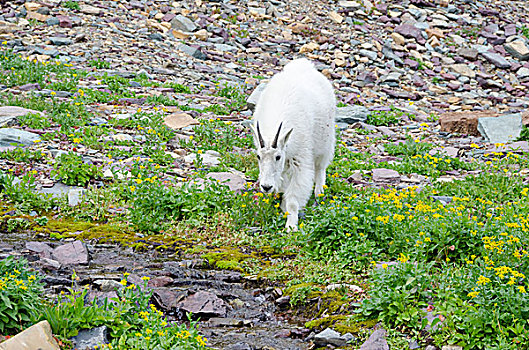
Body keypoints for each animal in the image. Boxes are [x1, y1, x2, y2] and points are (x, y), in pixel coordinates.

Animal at [251, 58, 334, 231]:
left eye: (278, 156)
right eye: (258, 157)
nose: (266, 187)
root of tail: (304, 64)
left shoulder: (299, 160)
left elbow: (294, 200)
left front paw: (291, 226)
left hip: (325, 140)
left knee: (321, 166)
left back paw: (319, 192)